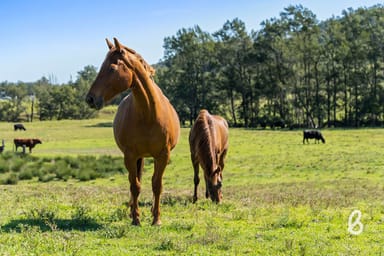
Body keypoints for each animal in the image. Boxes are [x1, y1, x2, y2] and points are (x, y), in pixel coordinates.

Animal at [85, 38, 180, 226]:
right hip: (137, 157)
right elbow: (135, 185)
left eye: (111, 68)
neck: (149, 114)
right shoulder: (130, 155)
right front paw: (136, 218)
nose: (90, 99)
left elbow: (157, 185)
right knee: (135, 181)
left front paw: (156, 218)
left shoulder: (163, 155)